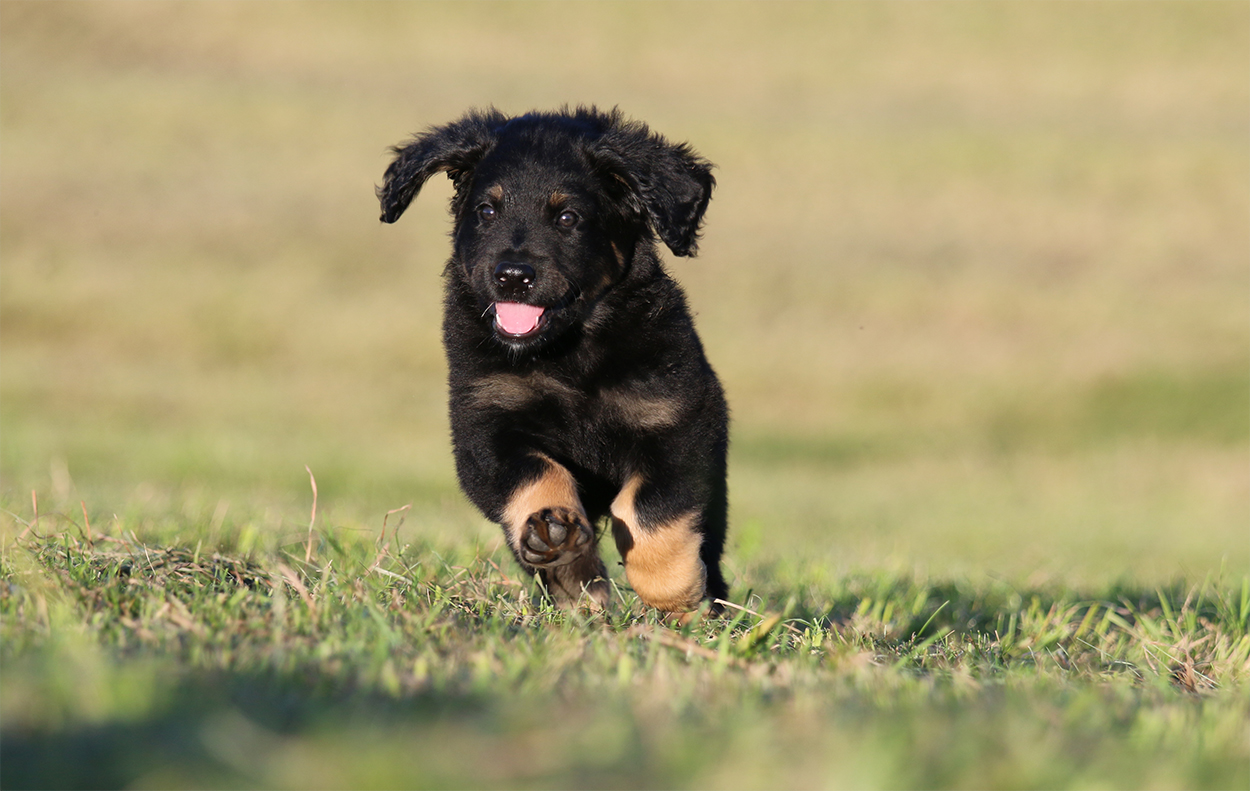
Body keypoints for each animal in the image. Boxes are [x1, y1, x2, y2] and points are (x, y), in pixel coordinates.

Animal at [377, 107, 727, 614]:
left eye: (567, 217)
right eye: (487, 212)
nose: (512, 276)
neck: (569, 354)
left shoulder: (678, 425)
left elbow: (650, 511)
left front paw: (676, 593)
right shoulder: (485, 427)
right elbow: (537, 473)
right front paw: (557, 541)